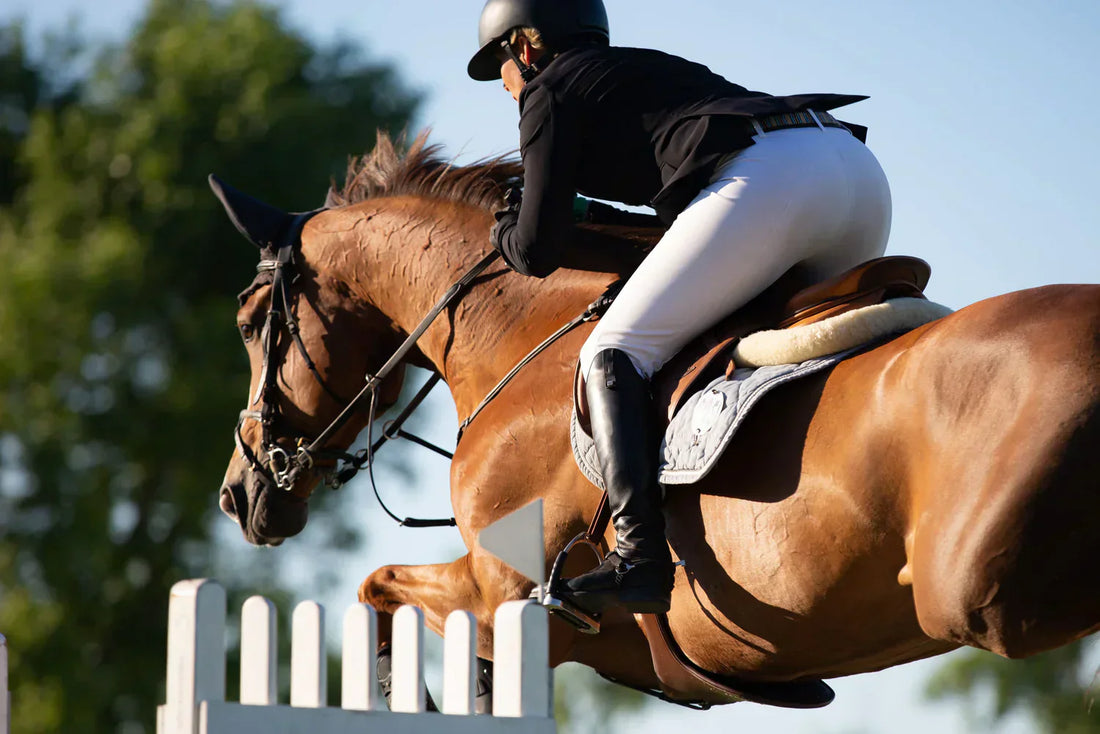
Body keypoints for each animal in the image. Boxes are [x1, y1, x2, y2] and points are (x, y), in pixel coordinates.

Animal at [215, 133, 1100, 702]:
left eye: (253, 322)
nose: (237, 493)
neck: (521, 338)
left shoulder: (504, 599)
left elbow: (377, 585)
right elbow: (383, 588)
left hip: (980, 595)